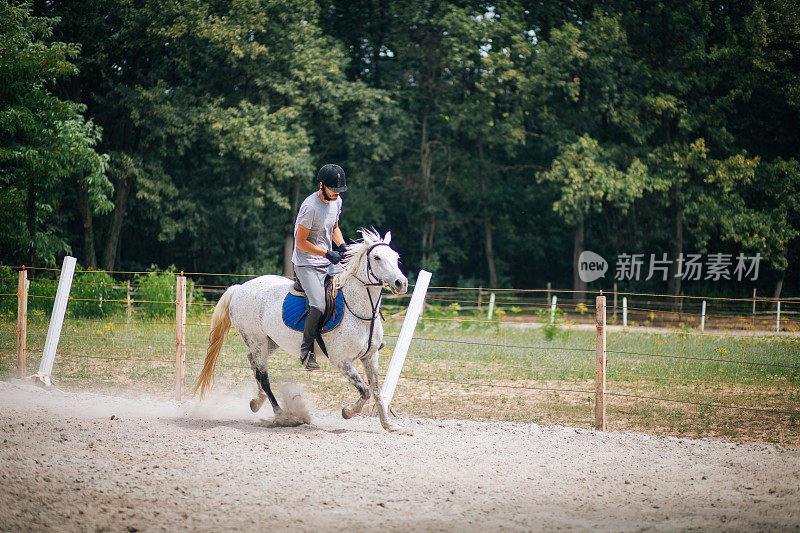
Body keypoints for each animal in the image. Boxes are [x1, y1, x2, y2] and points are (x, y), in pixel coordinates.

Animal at [194, 229, 412, 432]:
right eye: (377, 258)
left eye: (396, 257)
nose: (401, 283)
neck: (360, 309)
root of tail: (240, 288)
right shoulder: (341, 360)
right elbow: (365, 391)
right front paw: (348, 412)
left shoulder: (370, 356)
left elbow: (376, 390)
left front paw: (388, 424)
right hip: (257, 340)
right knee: (264, 377)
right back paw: (282, 415)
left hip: (270, 341)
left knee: (253, 362)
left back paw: (257, 401)